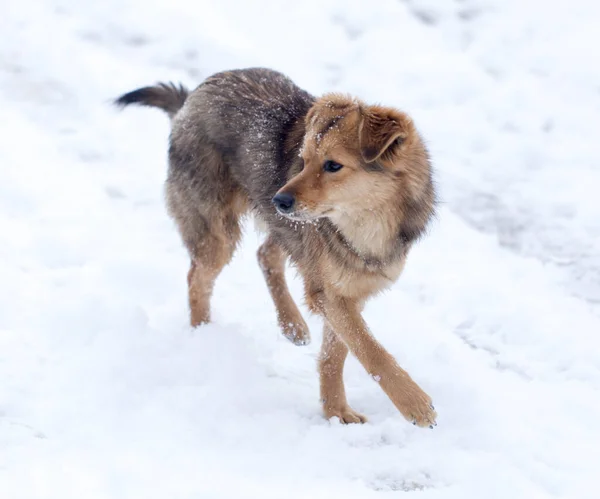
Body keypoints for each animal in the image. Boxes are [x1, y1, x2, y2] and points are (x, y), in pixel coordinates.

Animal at [116, 68, 436, 428]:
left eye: (333, 165)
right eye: (303, 160)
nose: (278, 200)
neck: (368, 223)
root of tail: (193, 95)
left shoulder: (344, 292)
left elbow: (337, 353)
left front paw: (335, 412)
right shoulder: (330, 293)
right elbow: (371, 351)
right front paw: (414, 404)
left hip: (287, 230)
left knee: (265, 254)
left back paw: (292, 324)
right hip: (219, 235)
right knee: (197, 279)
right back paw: (203, 336)